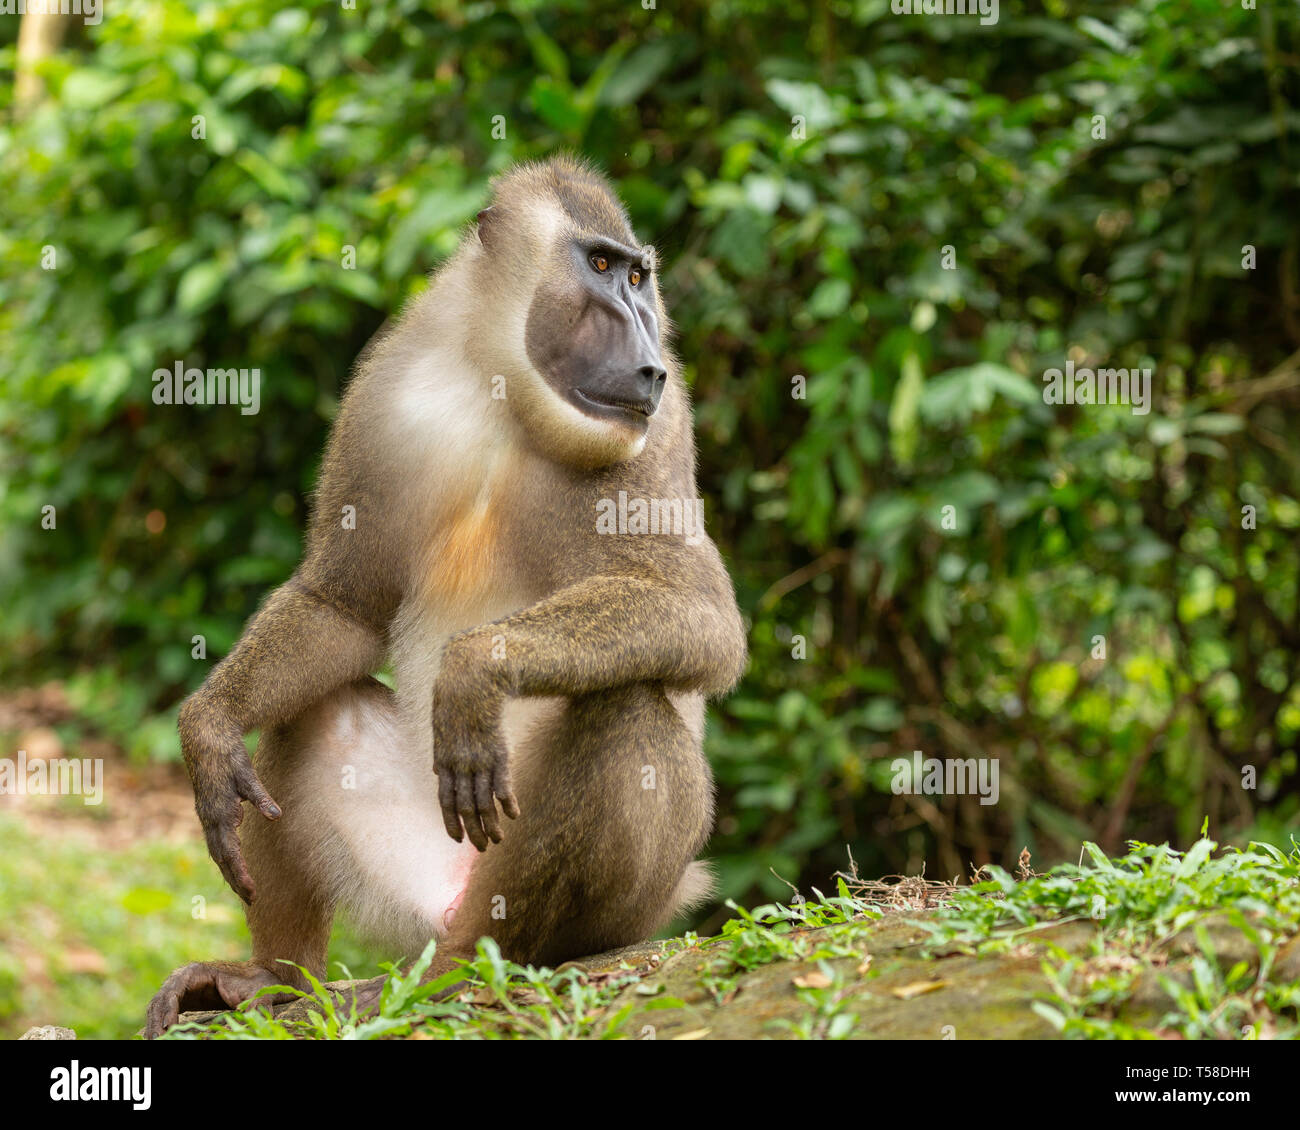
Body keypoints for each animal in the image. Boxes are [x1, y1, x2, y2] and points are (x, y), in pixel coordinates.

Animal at [143, 156, 747, 1038]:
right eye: (601, 266)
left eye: (639, 278)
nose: (647, 360)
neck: (507, 394)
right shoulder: (382, 402)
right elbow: (342, 608)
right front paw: (211, 728)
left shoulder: (660, 427)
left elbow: (700, 615)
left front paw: (476, 669)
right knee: (314, 712)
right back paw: (270, 978)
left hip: (601, 894)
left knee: (627, 710)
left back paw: (465, 967)